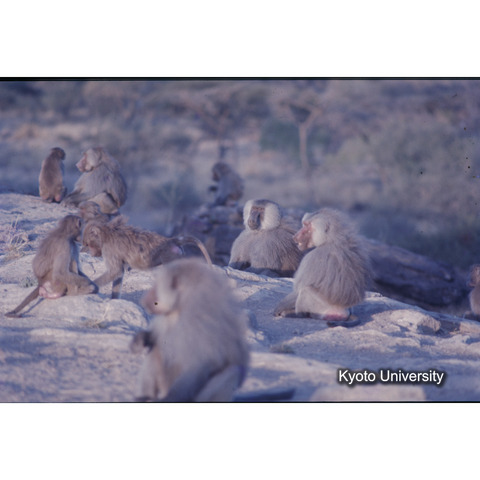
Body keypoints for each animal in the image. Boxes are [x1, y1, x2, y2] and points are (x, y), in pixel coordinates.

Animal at [81, 217, 212, 299]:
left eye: (89, 244)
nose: (91, 253)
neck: (106, 234)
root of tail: (170, 241)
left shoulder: (109, 250)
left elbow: (115, 271)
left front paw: (89, 287)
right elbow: (118, 274)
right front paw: (114, 300)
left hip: (170, 257)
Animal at [130, 258, 250, 401]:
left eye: (156, 288)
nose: (143, 300)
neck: (181, 308)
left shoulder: (197, 324)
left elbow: (200, 364)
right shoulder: (166, 319)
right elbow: (154, 337)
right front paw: (139, 340)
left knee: (233, 371)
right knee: (155, 349)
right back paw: (144, 396)